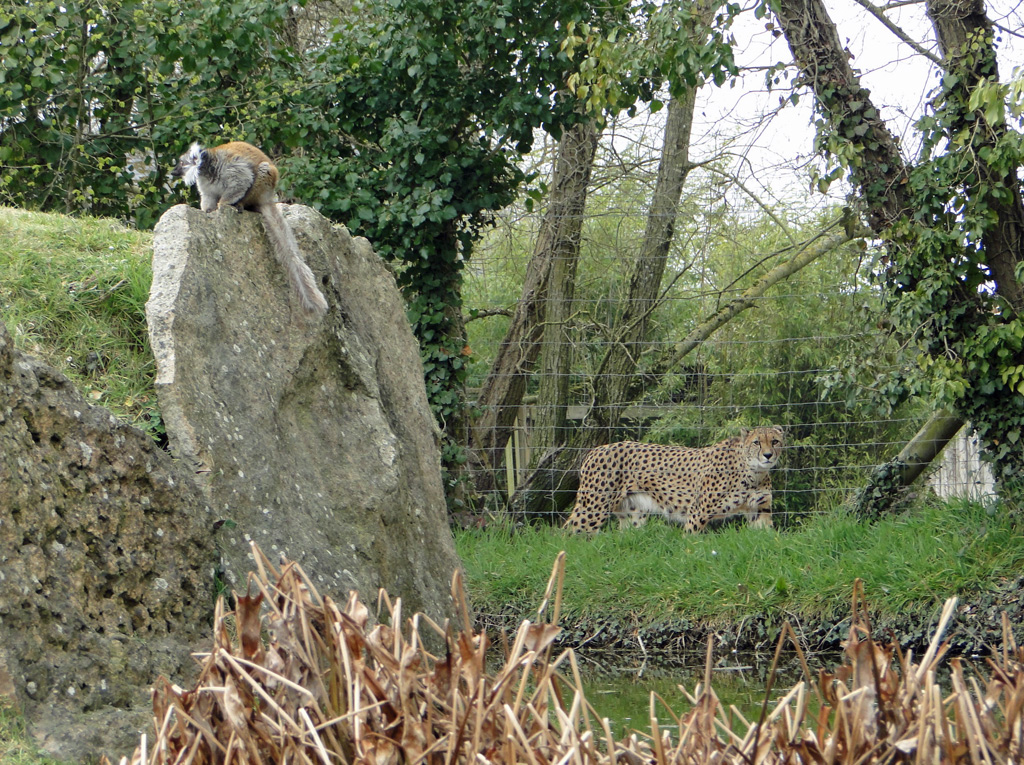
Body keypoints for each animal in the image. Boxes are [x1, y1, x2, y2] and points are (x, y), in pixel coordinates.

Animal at [565, 428, 786, 536]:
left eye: (775, 441)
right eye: (756, 442)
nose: (768, 455)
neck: (753, 471)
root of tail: (597, 449)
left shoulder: (759, 509)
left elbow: (766, 537)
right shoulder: (698, 511)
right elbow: (690, 537)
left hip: (632, 514)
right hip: (594, 508)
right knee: (569, 532)